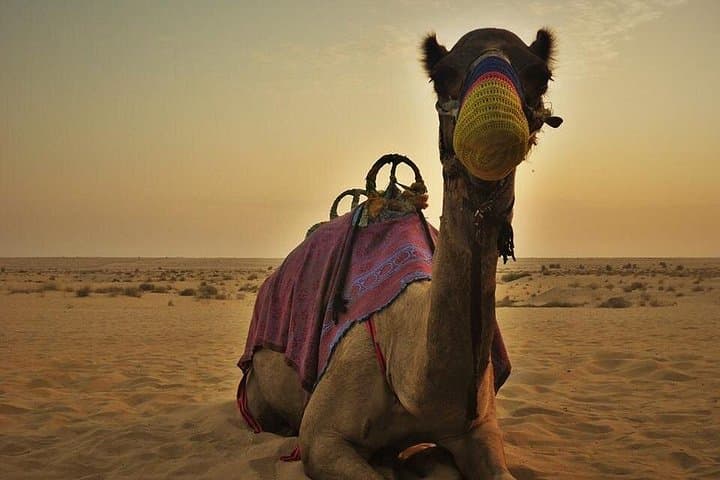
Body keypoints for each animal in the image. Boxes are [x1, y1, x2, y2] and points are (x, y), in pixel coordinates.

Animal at [242, 27, 561, 479]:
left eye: (541, 76)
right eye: (441, 76)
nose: (494, 129)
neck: (413, 381)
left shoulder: (479, 429)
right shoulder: (321, 438)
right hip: (254, 389)